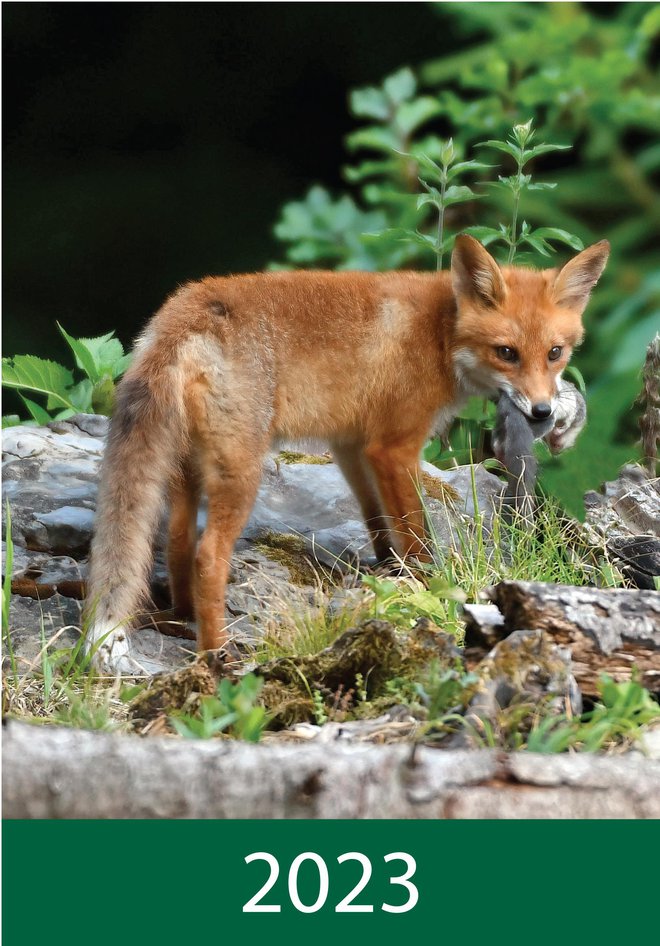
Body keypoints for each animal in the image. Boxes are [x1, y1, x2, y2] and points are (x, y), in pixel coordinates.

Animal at [84, 232, 608, 668]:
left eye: (555, 353)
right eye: (506, 353)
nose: (542, 412)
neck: (440, 331)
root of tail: (181, 313)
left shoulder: (352, 445)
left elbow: (378, 521)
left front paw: (389, 572)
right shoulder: (392, 448)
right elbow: (415, 533)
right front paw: (430, 587)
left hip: (186, 469)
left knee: (176, 542)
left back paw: (182, 618)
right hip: (241, 472)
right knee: (208, 557)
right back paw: (217, 656)